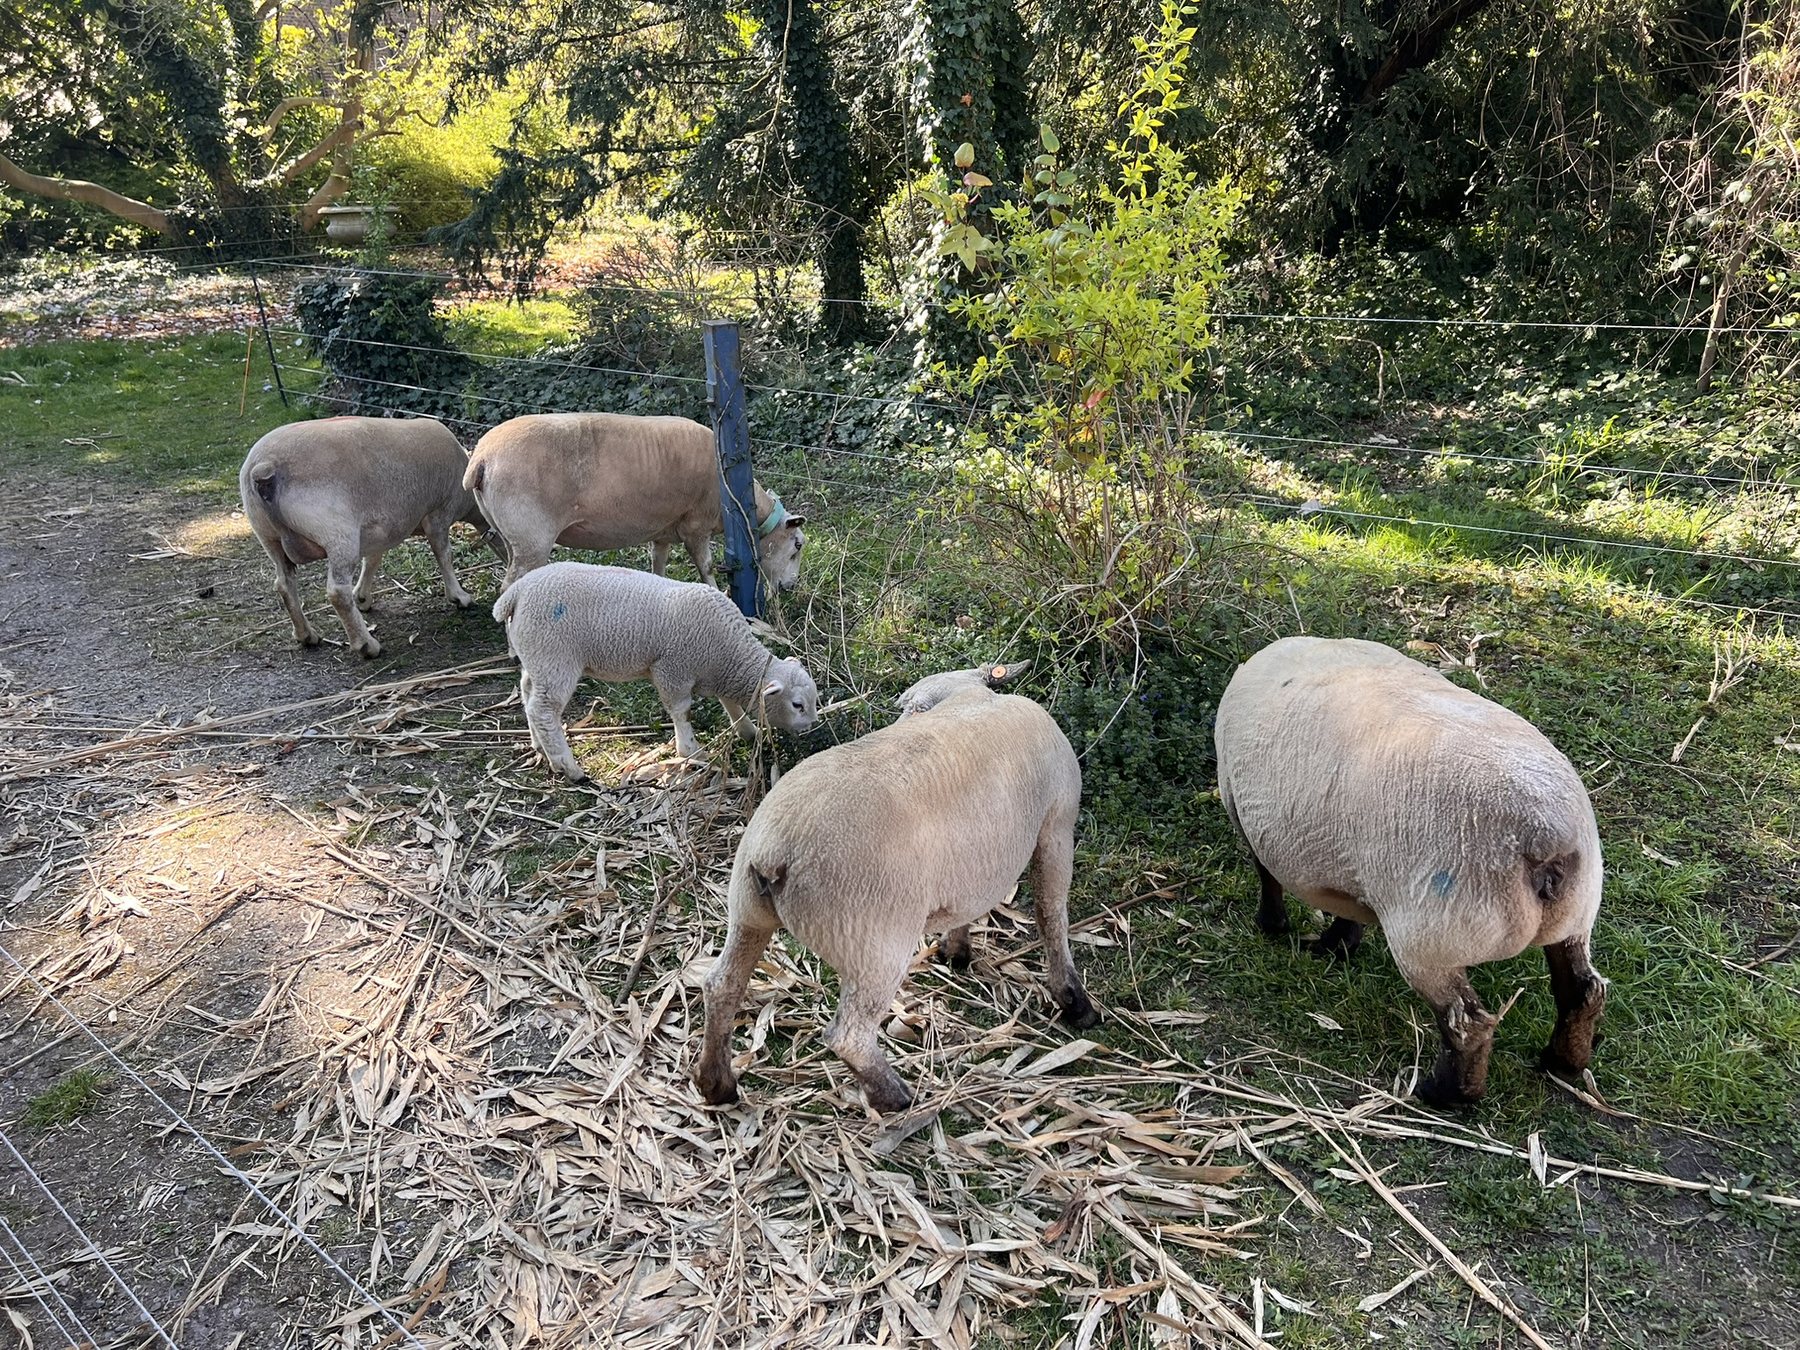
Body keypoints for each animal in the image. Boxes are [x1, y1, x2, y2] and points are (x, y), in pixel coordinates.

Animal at [239, 415, 494, 658]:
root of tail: (264, 467)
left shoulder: (379, 530)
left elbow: (372, 560)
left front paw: (362, 597)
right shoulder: (439, 513)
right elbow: (444, 554)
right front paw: (459, 596)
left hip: (269, 538)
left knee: (284, 583)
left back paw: (306, 635)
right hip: (337, 532)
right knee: (337, 592)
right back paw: (366, 645)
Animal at [463, 412, 807, 590]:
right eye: (798, 545)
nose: (789, 587)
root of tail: (482, 458)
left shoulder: (664, 531)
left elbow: (658, 564)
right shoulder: (696, 525)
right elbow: (706, 566)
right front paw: (716, 592)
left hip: (512, 535)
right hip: (532, 536)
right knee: (509, 587)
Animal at [491, 561, 819, 781]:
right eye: (797, 705)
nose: (812, 727)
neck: (730, 653)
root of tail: (516, 593)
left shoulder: (715, 673)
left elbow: (731, 704)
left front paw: (747, 731)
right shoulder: (672, 671)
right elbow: (681, 711)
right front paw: (691, 751)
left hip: (537, 657)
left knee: (528, 695)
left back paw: (539, 746)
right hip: (555, 657)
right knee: (544, 711)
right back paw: (568, 767)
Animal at [694, 666, 1099, 1114]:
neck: (969, 696)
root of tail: (777, 850)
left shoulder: (973, 862)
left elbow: (972, 905)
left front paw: (956, 950)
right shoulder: (1056, 825)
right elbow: (1050, 912)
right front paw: (1074, 1000)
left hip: (747, 910)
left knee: (721, 986)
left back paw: (716, 1084)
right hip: (873, 942)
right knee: (848, 1034)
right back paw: (893, 1096)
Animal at [1213, 635, 1607, 1105]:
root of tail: (1545, 839)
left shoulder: (1242, 808)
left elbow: (1266, 875)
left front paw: (1273, 926)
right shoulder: (1349, 865)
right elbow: (1346, 908)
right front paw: (1336, 945)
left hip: (1430, 934)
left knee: (1466, 1023)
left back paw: (1446, 1094)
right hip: (1575, 915)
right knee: (1583, 992)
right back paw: (1562, 1063)